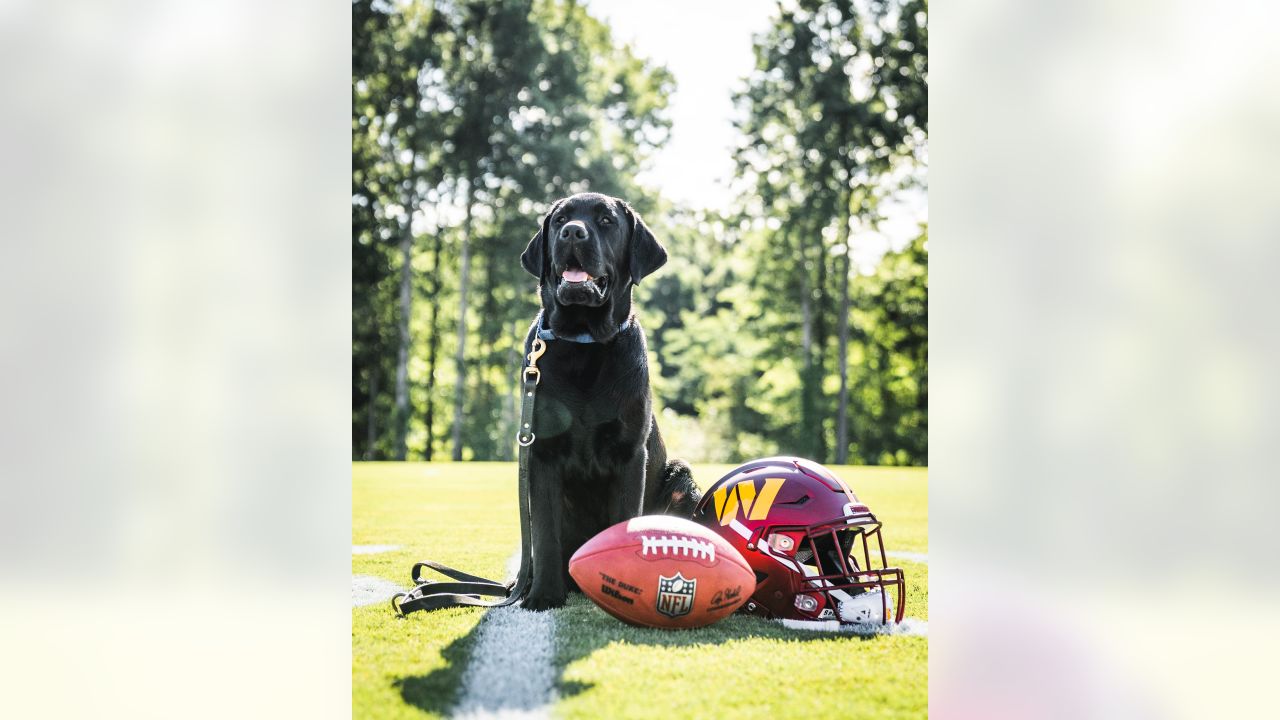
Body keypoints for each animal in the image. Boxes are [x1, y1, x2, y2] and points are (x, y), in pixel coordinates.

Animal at [519, 190, 701, 604]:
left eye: (606, 220)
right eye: (560, 220)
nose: (572, 232)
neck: (585, 342)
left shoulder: (630, 455)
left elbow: (625, 523)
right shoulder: (542, 455)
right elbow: (544, 534)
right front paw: (543, 596)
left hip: (683, 479)